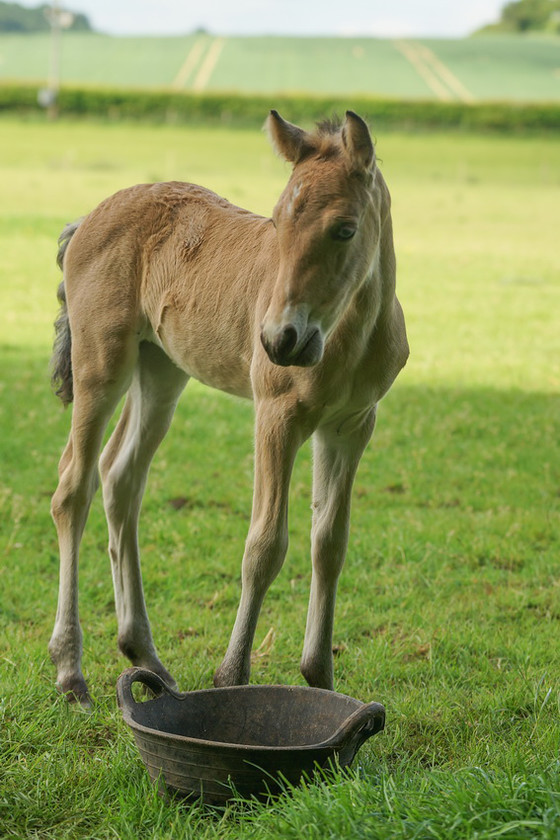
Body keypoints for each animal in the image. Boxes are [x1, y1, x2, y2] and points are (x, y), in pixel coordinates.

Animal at [50, 110, 410, 704]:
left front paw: (320, 676)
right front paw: (231, 675)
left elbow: (329, 543)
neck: (348, 336)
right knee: (72, 490)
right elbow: (264, 545)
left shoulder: (351, 425)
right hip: (100, 363)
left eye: (344, 228)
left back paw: (144, 655)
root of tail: (87, 219)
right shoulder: (277, 416)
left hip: (161, 372)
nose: (279, 339)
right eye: (277, 222)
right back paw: (69, 670)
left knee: (120, 476)